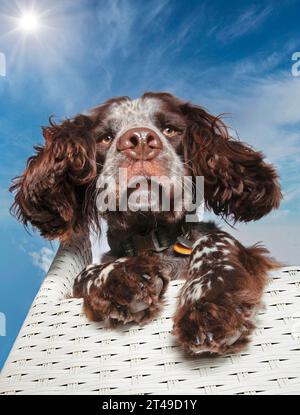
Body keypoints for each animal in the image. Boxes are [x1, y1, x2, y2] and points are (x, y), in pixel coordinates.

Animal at [9, 92, 282, 356]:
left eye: (170, 129)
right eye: (105, 138)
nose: (139, 139)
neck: (150, 237)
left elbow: (215, 241)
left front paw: (209, 302)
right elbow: (85, 274)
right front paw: (119, 277)